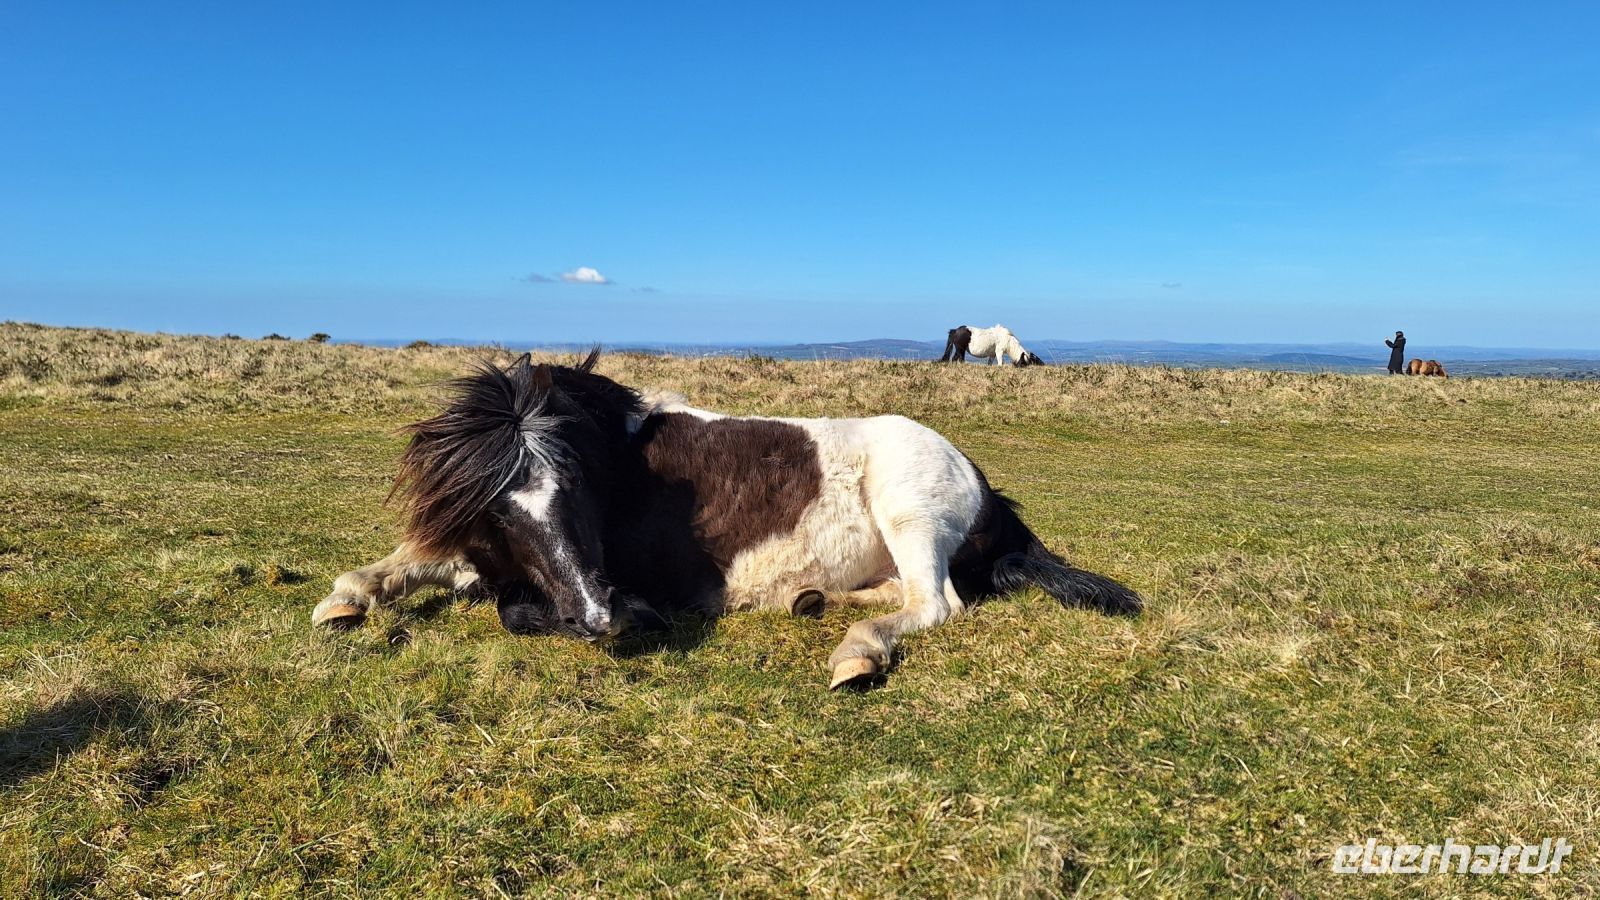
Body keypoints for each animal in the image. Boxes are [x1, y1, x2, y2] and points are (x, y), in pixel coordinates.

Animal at [312, 352, 1139, 689]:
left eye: (577, 484)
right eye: (500, 509)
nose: (599, 615)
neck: (622, 464)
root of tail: (986, 487)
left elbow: (510, 606)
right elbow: (419, 558)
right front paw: (350, 595)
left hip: (909, 511)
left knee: (933, 604)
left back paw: (856, 652)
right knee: (900, 594)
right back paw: (813, 600)